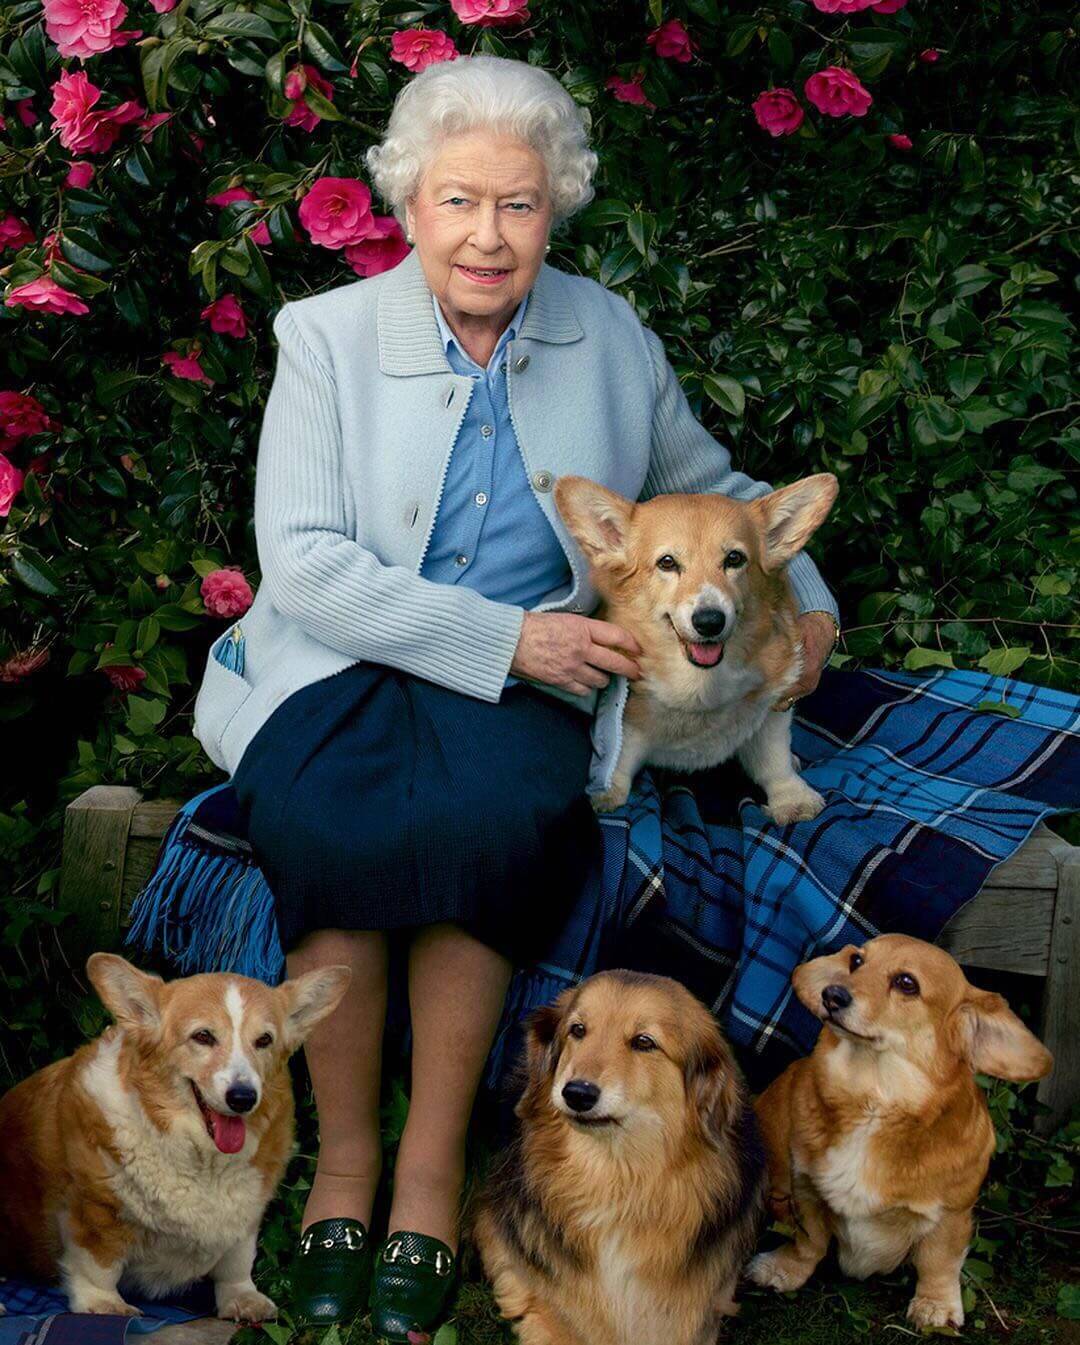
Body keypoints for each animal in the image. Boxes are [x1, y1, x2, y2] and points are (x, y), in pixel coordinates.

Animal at [0, 952, 349, 1318]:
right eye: (203, 1036)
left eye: (264, 1040)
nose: (243, 1097)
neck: (201, 1156)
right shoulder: (95, 1209)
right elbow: (98, 1265)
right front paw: (104, 1305)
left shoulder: (245, 1216)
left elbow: (237, 1262)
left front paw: (243, 1298)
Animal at [554, 473, 839, 817]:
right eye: (667, 562)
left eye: (734, 559)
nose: (709, 621)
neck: (700, 685)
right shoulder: (630, 721)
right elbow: (621, 754)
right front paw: (608, 791)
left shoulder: (773, 706)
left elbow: (774, 758)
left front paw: (792, 799)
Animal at [747, 941, 1054, 1328]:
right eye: (856, 961)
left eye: (907, 983)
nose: (831, 994)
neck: (873, 1101)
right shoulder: (805, 1188)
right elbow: (810, 1241)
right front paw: (785, 1268)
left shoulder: (951, 1214)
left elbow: (939, 1262)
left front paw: (935, 1305)